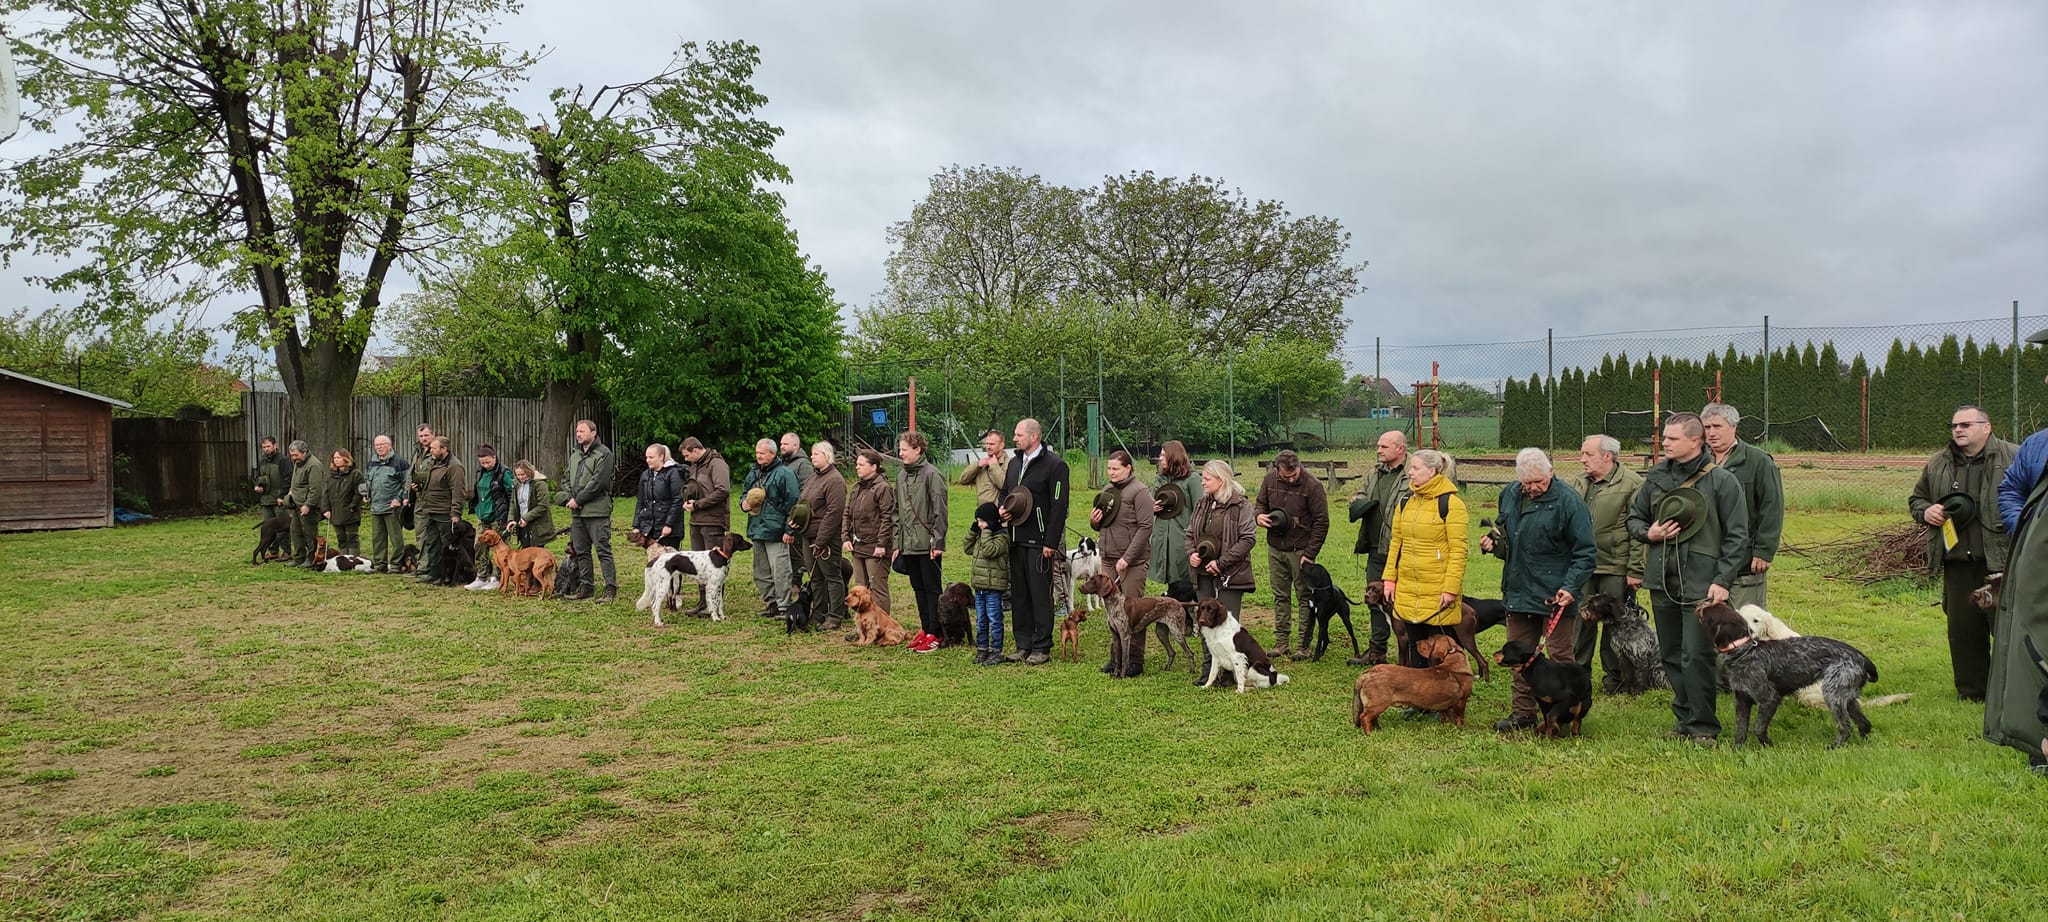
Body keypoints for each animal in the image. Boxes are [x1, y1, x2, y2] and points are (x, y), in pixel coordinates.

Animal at [1351, 635, 1482, 733]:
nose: (1417, 641)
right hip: (1378, 704)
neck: (1453, 660)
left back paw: (1378, 730)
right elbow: (1460, 717)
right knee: (1364, 717)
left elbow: (1444, 716)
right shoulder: (1461, 701)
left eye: (1429, 642)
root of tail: (1367, 674)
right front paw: (1460, 728)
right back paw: (1369, 733)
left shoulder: (1444, 707)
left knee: (1373, 718)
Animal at [1687, 606, 1875, 749]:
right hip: (1847, 698)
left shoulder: (1770, 699)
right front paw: (1737, 750)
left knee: (1845, 727)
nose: (1700, 604)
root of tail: (1861, 657)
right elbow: (1740, 730)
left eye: (1706, 611)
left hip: (1832, 695)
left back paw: (1835, 746)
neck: (1744, 650)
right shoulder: (1742, 700)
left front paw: (1767, 744)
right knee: (1864, 723)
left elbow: (1758, 728)